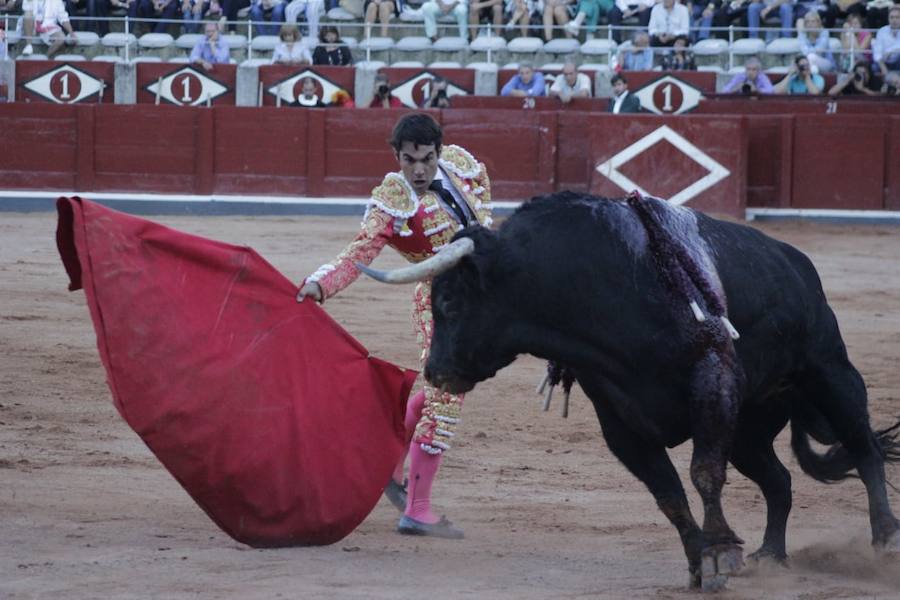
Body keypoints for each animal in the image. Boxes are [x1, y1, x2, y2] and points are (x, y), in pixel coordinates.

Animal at [356, 192, 900, 592]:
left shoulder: (712, 380)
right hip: (749, 428)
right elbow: (669, 494)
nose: (436, 372)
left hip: (830, 372)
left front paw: (720, 551)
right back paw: (770, 556)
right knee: (780, 480)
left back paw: (884, 542)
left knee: (864, 448)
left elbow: (703, 473)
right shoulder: (621, 424)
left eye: (449, 301)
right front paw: (702, 564)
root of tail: (797, 264)